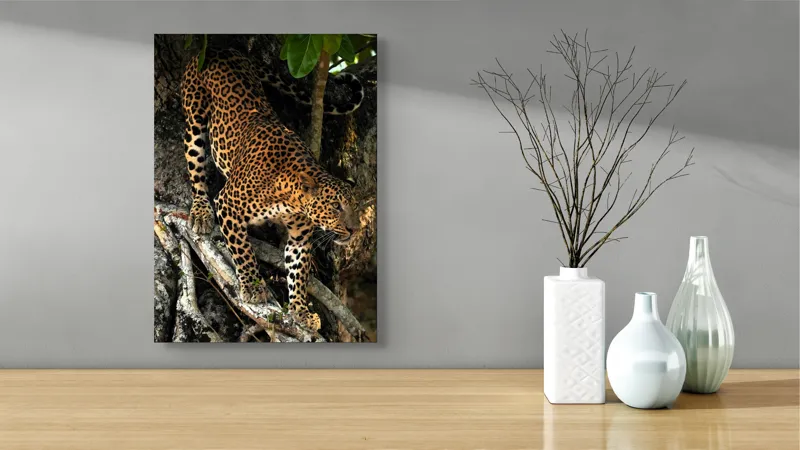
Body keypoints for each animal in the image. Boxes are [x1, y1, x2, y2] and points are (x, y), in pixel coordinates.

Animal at [180, 47, 363, 331]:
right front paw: (252, 287)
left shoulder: (299, 237)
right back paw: (200, 212)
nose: (355, 230)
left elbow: (298, 273)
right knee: (195, 166)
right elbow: (243, 250)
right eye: (336, 206)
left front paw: (301, 311)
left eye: (356, 207)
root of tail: (221, 49)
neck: (290, 196)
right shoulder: (228, 205)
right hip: (194, 116)